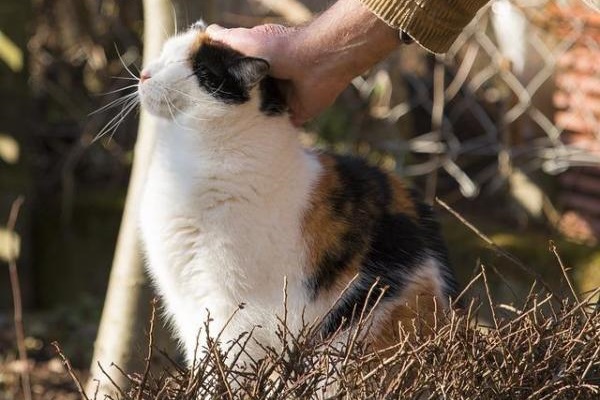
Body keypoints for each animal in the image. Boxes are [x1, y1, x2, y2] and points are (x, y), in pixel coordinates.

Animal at [138, 21, 458, 366]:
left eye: (195, 70)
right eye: (164, 54)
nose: (145, 74)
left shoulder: (233, 311)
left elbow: (223, 368)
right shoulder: (188, 306)